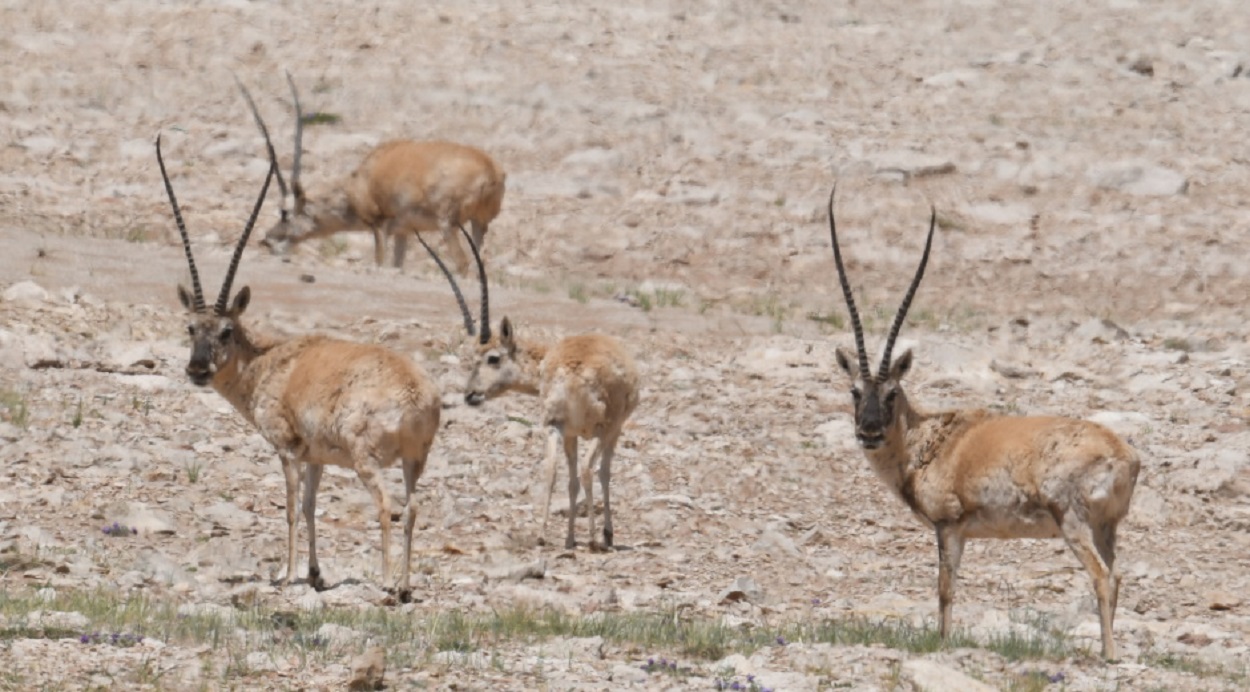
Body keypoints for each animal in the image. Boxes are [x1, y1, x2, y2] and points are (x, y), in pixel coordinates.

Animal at [155, 134, 442, 597]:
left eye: (226, 331)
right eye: (191, 327)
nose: (197, 370)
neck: (271, 361)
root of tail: (417, 394)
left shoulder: (287, 450)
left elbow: (290, 508)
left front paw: (285, 575)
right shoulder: (316, 458)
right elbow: (310, 506)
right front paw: (314, 574)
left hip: (368, 459)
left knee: (386, 505)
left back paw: (385, 585)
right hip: (416, 460)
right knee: (414, 506)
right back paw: (403, 586)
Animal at [236, 73, 505, 272]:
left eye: (284, 213)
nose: (268, 239)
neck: (360, 180)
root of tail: (490, 170)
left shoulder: (380, 226)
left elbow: (380, 264)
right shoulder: (403, 232)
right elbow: (397, 266)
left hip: (448, 225)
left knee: (462, 263)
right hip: (479, 224)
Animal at [415, 226, 640, 549]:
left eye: (492, 357)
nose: (471, 394)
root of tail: (572, 371)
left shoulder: (570, 432)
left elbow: (567, 477)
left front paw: (568, 536)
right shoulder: (613, 429)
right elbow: (604, 473)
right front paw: (605, 534)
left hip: (557, 427)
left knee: (552, 470)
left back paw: (546, 535)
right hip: (601, 428)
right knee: (589, 469)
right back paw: (594, 539)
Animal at [825, 184, 1140, 659]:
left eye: (893, 392)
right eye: (855, 392)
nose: (870, 432)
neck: (930, 438)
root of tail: (1123, 454)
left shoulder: (949, 527)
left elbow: (945, 589)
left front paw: (941, 642)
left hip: (1073, 522)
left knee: (1102, 576)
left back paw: (1109, 654)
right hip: (1106, 528)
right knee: (1117, 574)